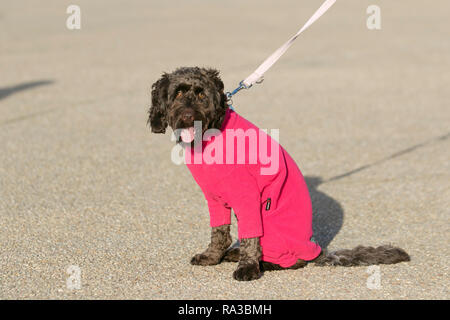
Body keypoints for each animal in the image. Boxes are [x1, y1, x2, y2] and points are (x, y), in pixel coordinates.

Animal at [149, 67, 412, 280]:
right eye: (178, 94)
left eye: (202, 95)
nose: (188, 115)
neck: (210, 135)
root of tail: (316, 250)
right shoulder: (214, 198)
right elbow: (219, 232)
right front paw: (212, 256)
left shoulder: (247, 197)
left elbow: (250, 238)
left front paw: (248, 269)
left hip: (271, 222)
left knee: (291, 261)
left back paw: (262, 262)